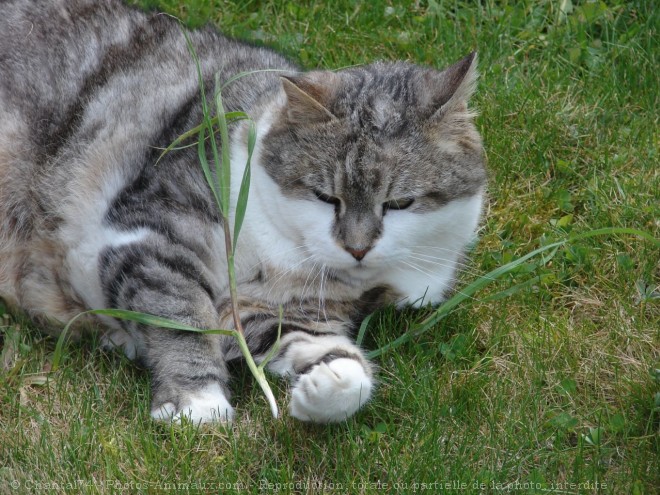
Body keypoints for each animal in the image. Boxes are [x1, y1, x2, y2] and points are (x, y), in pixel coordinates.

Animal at [0, 0, 484, 426]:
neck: (281, 249)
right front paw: (197, 402)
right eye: (325, 196)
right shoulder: (147, 228)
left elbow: (313, 346)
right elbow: (181, 314)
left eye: (399, 203)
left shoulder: (272, 309)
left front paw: (329, 380)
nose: (358, 248)